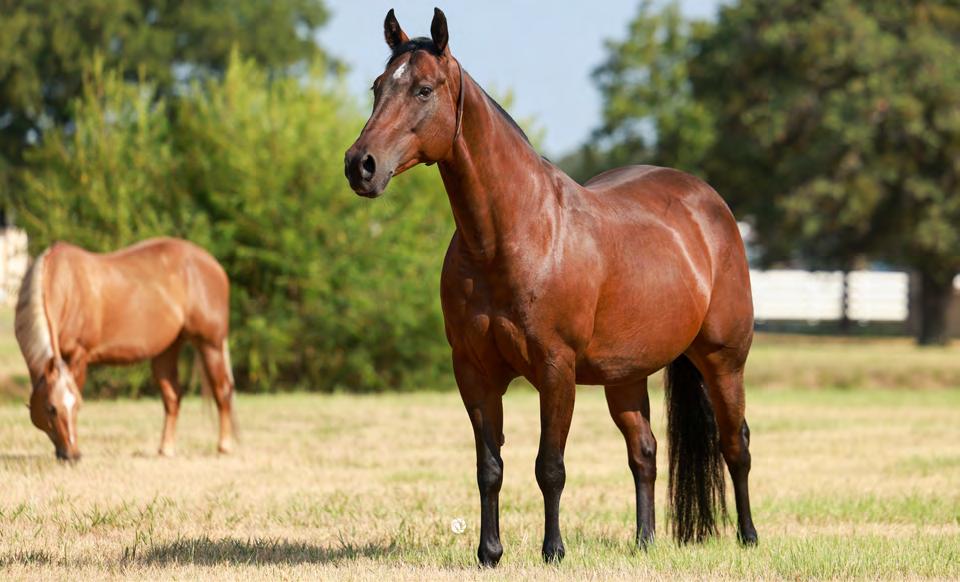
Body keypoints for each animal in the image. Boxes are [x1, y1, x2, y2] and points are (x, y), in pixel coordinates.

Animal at [14, 237, 236, 461]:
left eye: (77, 405)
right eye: (50, 408)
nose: (73, 456)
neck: (64, 284)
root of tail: (214, 265)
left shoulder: (79, 355)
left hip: (210, 344)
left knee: (222, 390)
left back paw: (224, 446)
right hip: (168, 349)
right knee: (173, 397)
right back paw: (166, 449)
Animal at [344, 8, 757, 567]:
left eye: (424, 90)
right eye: (377, 86)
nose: (360, 165)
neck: (512, 235)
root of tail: (709, 203)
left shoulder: (556, 369)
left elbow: (550, 466)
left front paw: (553, 550)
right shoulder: (473, 372)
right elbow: (490, 468)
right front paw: (489, 552)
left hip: (722, 360)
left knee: (735, 445)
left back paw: (748, 537)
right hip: (625, 376)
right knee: (645, 451)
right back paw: (644, 541)